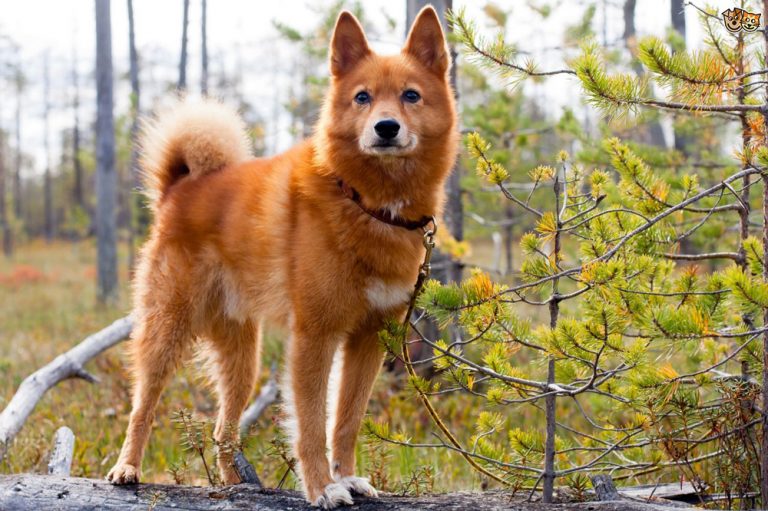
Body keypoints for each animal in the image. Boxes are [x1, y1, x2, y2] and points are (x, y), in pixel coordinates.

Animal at [107, 6, 456, 510]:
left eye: (411, 96)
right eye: (363, 97)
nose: (386, 127)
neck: (366, 202)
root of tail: (180, 187)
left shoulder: (368, 338)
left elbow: (345, 421)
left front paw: (347, 477)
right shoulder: (314, 336)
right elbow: (310, 425)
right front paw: (321, 487)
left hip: (242, 358)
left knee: (223, 428)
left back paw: (234, 484)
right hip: (166, 329)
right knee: (143, 406)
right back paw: (127, 468)